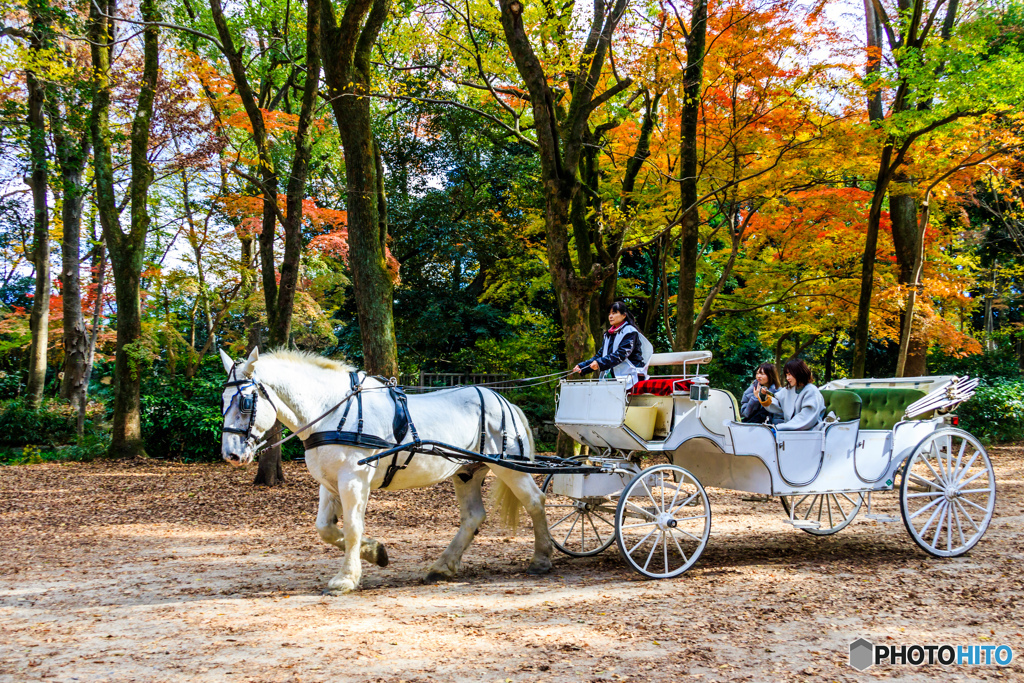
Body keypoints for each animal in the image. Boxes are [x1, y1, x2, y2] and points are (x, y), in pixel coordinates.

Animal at [217, 348, 552, 593]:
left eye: (245, 402)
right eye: (222, 399)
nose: (231, 454)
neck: (333, 411)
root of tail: (505, 401)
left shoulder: (353, 479)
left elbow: (352, 527)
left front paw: (347, 578)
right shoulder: (329, 482)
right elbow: (325, 528)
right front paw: (375, 551)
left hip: (510, 467)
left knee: (535, 501)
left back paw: (541, 559)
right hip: (467, 472)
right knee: (473, 517)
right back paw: (442, 566)